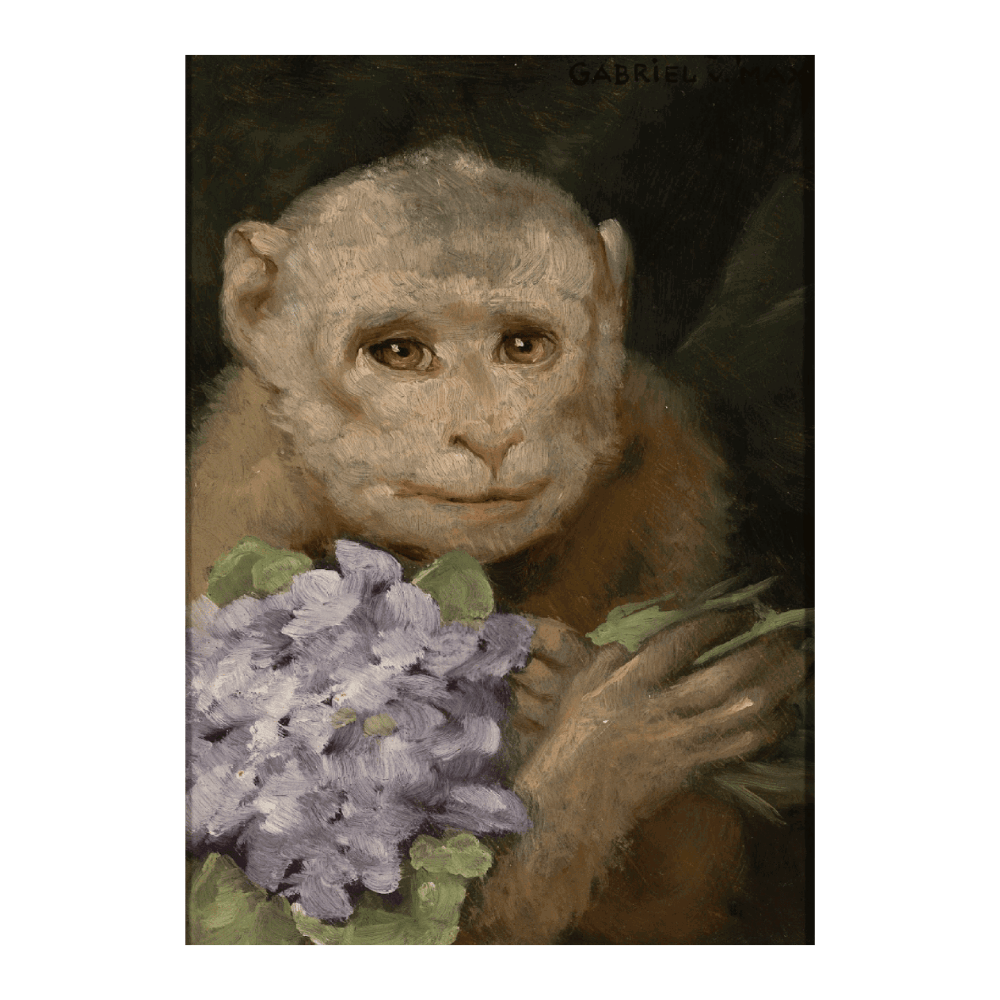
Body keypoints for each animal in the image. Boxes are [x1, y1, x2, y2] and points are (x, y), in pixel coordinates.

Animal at [187, 142, 812, 945]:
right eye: (399, 352)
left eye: (522, 346)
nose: (488, 433)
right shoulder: (237, 500)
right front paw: (607, 743)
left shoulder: (668, 463)